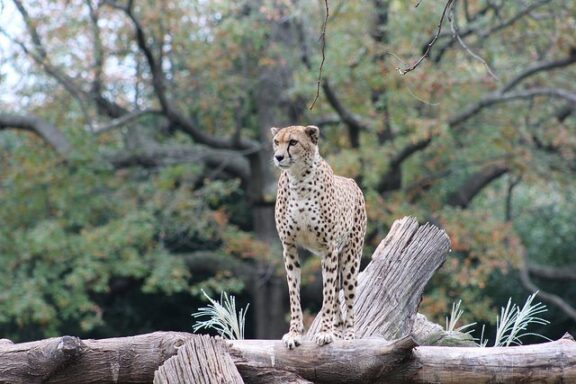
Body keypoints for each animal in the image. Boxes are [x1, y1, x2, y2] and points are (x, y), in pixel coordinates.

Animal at [272, 125, 368, 348]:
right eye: (275, 142)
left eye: (293, 142)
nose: (278, 157)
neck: (298, 180)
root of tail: (351, 181)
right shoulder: (289, 247)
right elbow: (294, 294)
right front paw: (294, 333)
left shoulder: (329, 247)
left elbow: (327, 296)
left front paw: (324, 332)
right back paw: (338, 330)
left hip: (349, 260)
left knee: (348, 301)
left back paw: (348, 337)